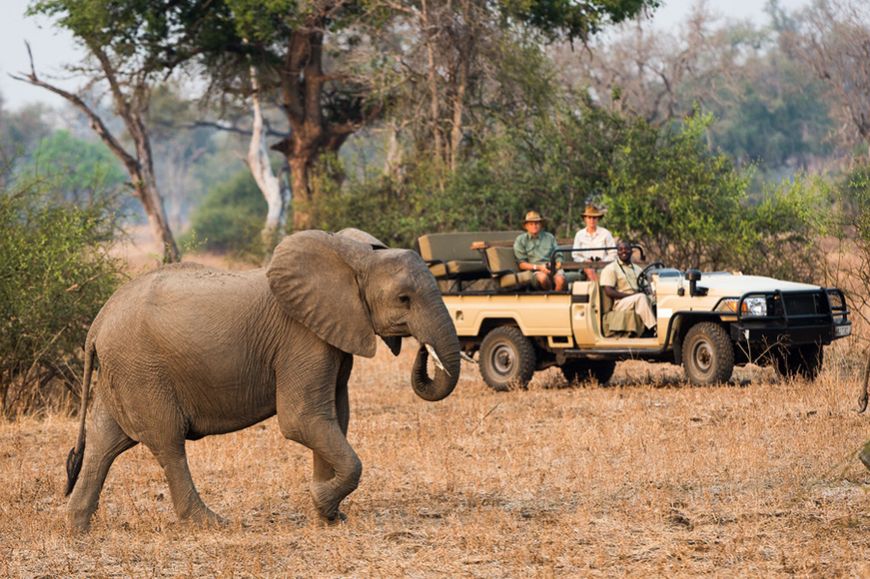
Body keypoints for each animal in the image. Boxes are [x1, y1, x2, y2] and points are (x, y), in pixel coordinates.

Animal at [63, 229, 460, 532]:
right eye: (404, 299)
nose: (423, 350)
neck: (353, 255)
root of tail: (98, 321)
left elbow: (335, 417)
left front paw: (328, 517)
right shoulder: (301, 338)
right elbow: (302, 420)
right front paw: (321, 503)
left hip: (124, 369)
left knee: (104, 442)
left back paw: (77, 527)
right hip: (142, 368)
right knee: (168, 442)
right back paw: (211, 524)